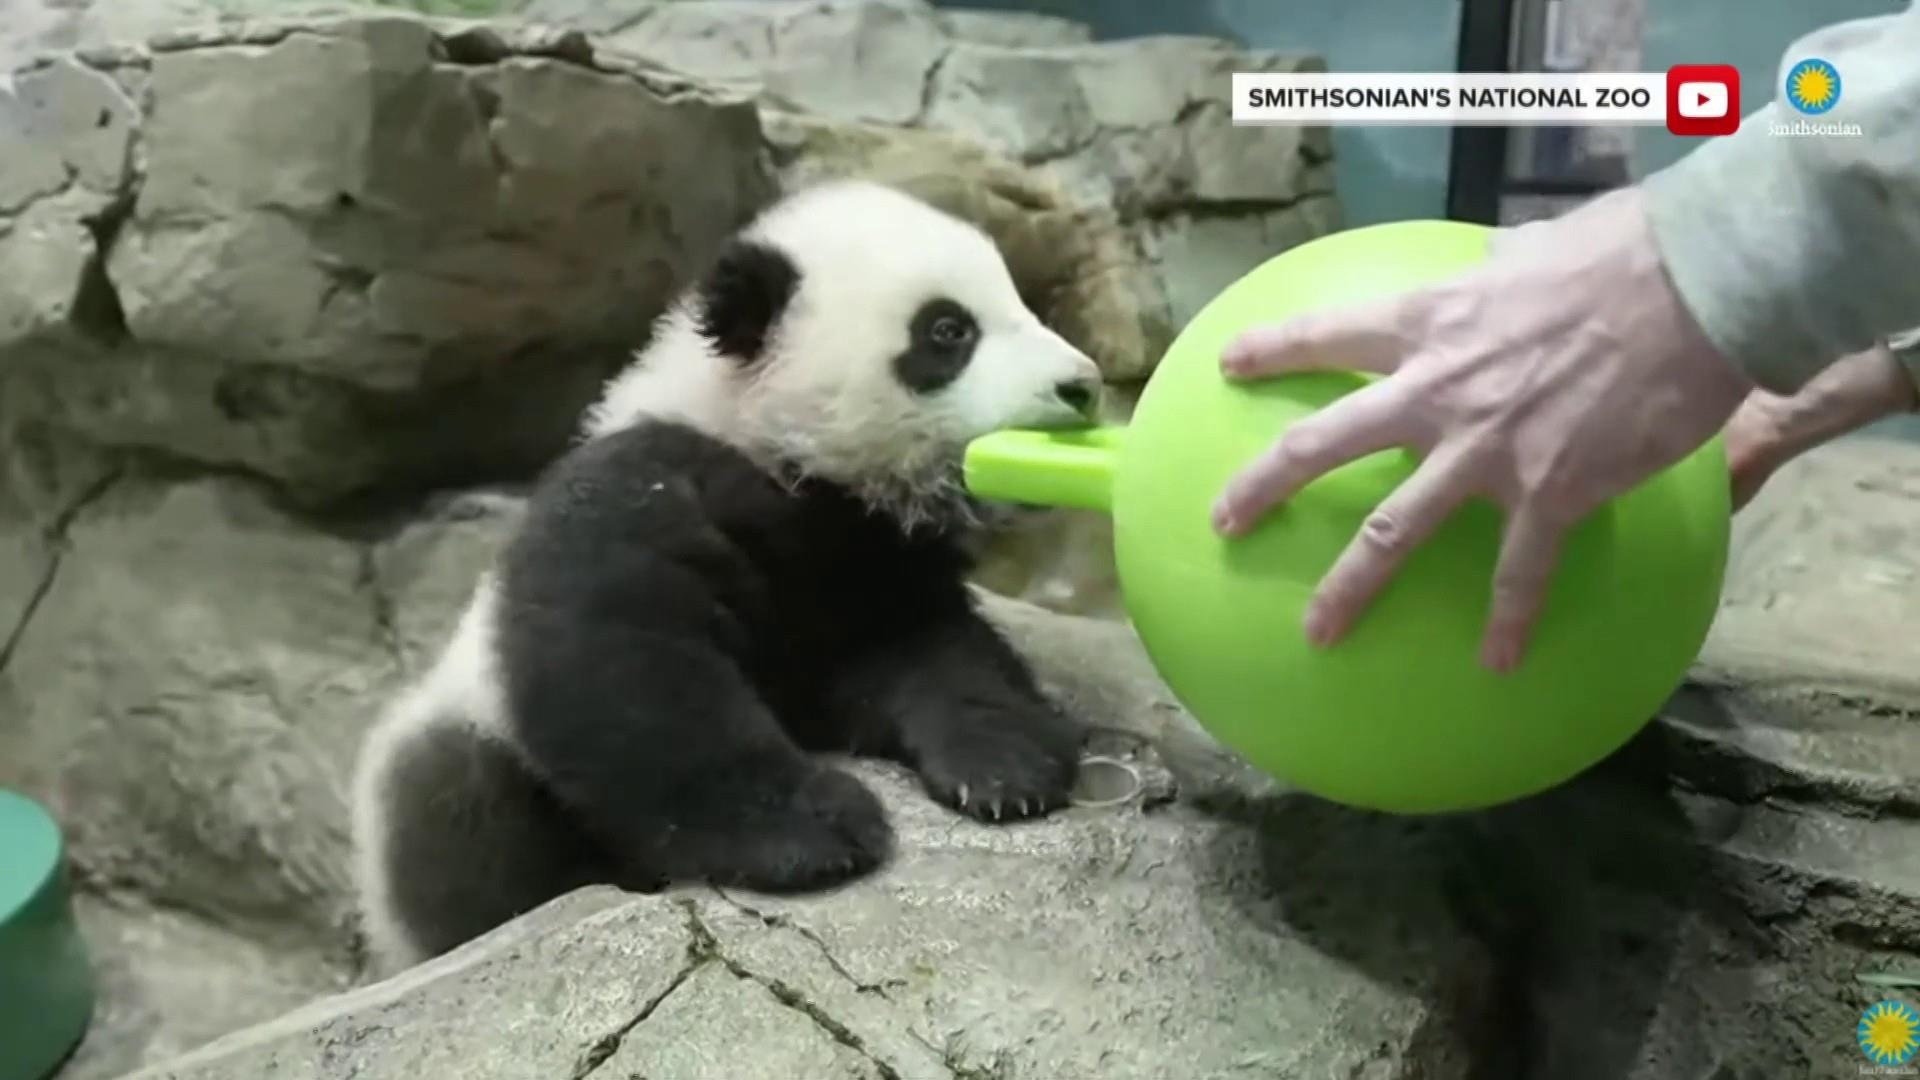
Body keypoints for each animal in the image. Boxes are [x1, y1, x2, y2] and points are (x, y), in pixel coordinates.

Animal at [349, 180, 1107, 974]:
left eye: (1019, 302)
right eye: (948, 330)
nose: (1081, 386)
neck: (771, 450)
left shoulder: (871, 564)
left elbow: (932, 650)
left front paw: (1010, 765)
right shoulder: (642, 493)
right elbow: (634, 676)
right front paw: (817, 828)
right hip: (455, 759)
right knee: (464, 824)